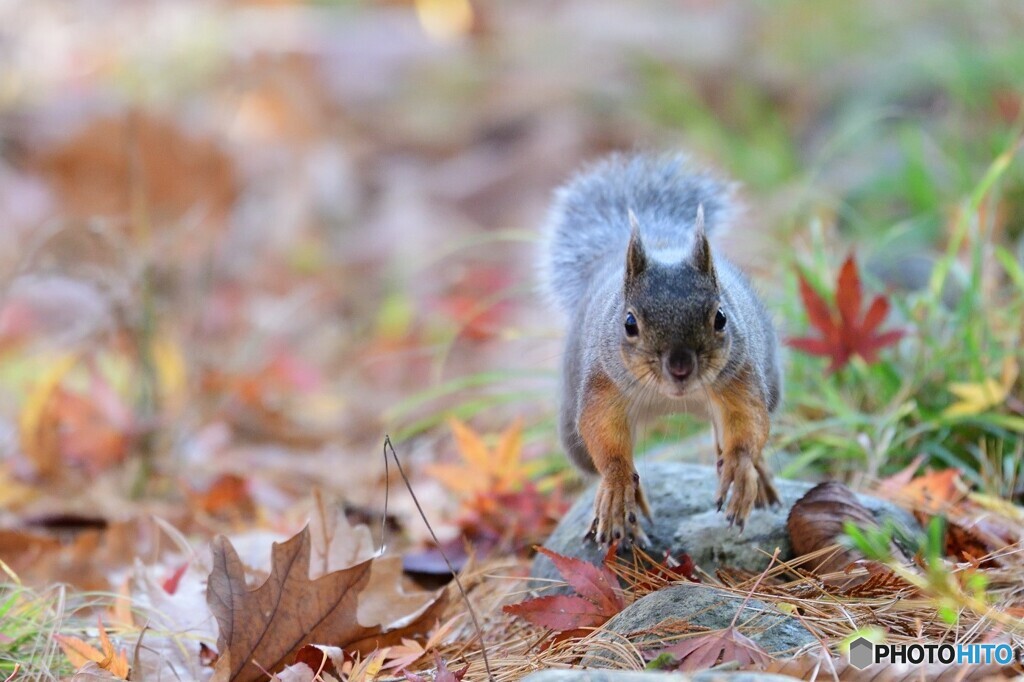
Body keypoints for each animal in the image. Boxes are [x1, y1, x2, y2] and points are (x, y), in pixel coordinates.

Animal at [540, 153, 778, 548]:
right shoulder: (602, 385)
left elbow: (747, 424)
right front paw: (618, 485)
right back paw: (628, 511)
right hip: (572, 436)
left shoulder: (740, 377)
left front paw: (742, 469)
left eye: (721, 318)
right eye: (629, 323)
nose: (680, 367)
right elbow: (604, 437)